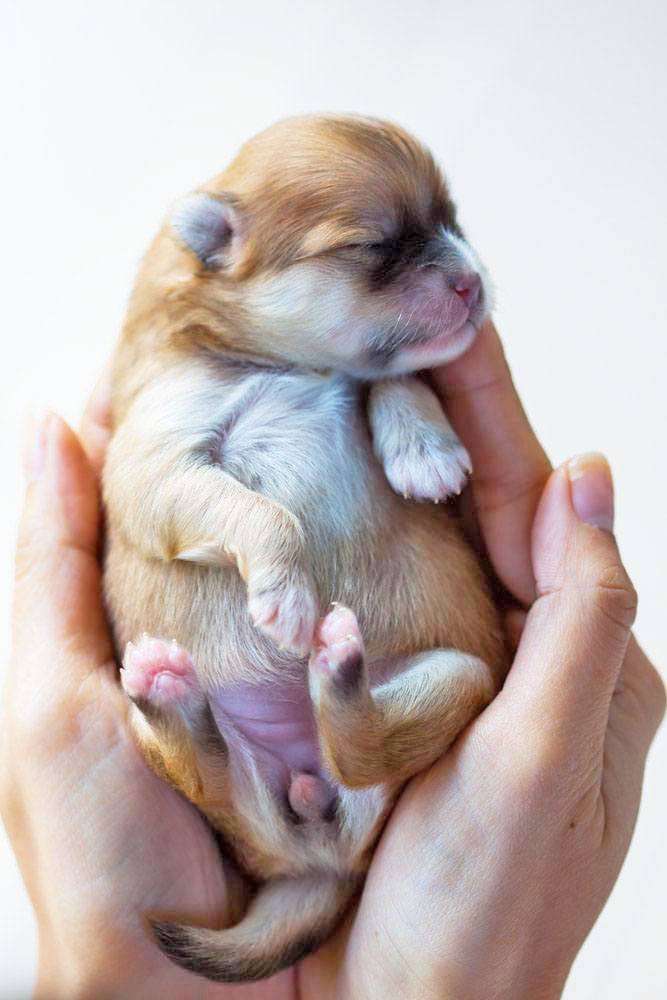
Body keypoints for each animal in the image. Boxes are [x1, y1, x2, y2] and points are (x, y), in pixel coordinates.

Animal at [105, 113, 506, 980]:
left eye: (453, 223)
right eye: (372, 245)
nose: (473, 282)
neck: (280, 363)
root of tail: (321, 845)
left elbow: (390, 375)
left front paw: (424, 451)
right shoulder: (154, 461)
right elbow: (260, 514)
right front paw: (284, 597)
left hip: (455, 681)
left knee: (362, 749)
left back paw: (334, 669)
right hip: (211, 778)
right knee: (209, 773)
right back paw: (174, 693)